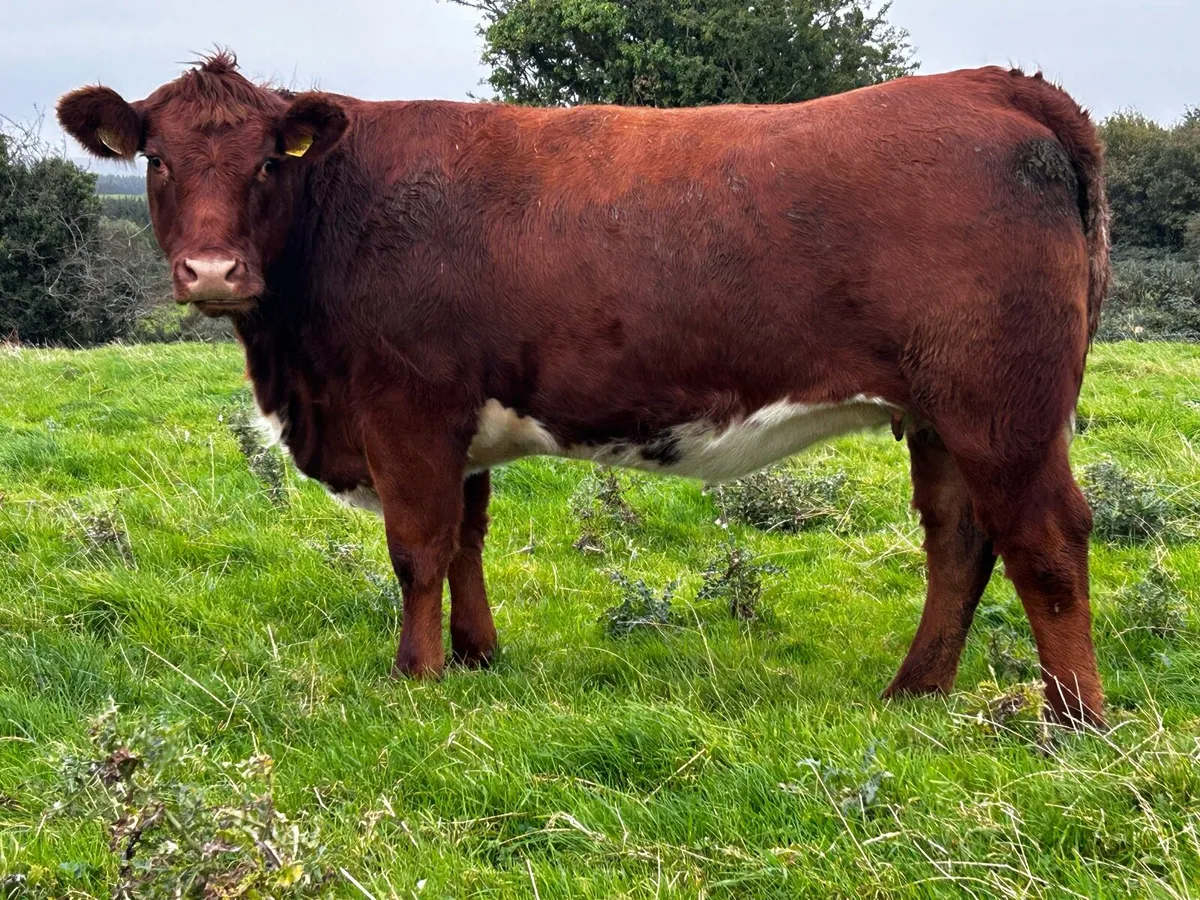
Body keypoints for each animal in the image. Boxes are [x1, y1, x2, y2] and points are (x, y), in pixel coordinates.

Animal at [59, 52, 1110, 726]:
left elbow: (417, 548)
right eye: (157, 158)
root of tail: (996, 87)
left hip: (1003, 407)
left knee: (1046, 539)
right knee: (960, 538)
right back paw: (914, 692)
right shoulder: (460, 425)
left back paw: (1072, 720)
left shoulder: (407, 408)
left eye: (268, 162)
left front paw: (417, 678)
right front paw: (478, 657)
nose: (212, 272)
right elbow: (467, 537)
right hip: (938, 414)